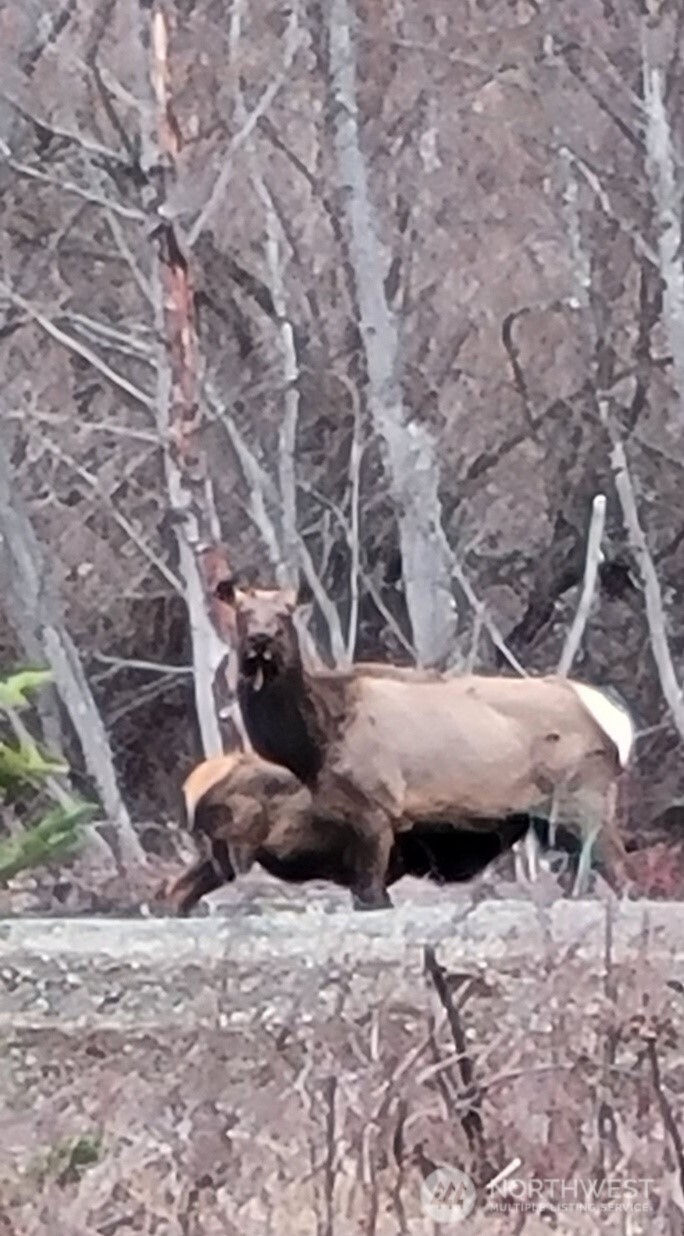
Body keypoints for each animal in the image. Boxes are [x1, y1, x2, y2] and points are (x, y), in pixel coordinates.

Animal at [167, 751, 535, 914]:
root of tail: (191, 786)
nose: (522, 817)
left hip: (211, 858)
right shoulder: (374, 834)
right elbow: (371, 889)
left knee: (179, 888)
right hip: (235, 840)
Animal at [213, 580, 636, 910]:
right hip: (554, 813)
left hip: (583, 796)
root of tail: (619, 724)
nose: (261, 638)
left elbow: (372, 898)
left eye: (284, 614)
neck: (313, 747)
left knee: (620, 872)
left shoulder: (378, 806)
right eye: (243, 612)